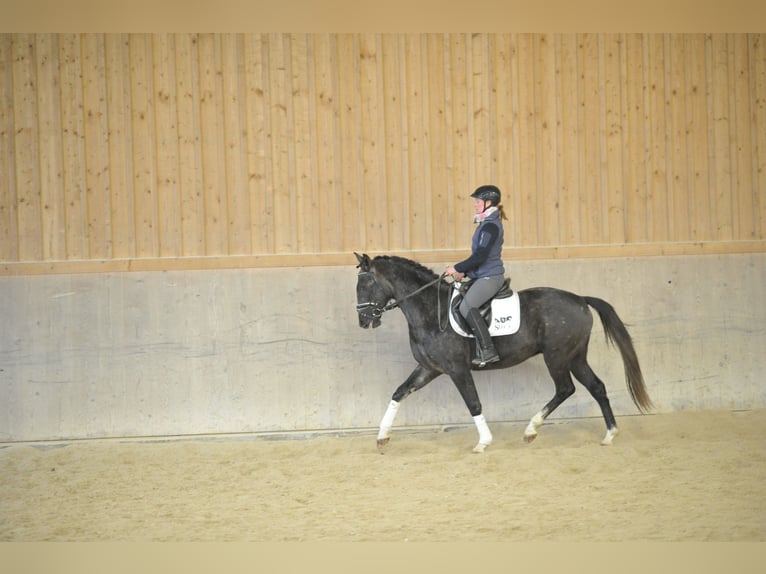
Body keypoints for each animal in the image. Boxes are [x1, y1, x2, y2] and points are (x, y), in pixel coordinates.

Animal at [356, 252, 656, 454]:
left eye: (367, 284)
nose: (363, 321)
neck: (430, 310)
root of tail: (580, 300)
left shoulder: (457, 369)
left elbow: (473, 403)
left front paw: (483, 442)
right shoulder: (430, 368)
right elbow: (399, 392)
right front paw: (382, 437)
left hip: (557, 356)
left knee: (565, 389)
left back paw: (531, 429)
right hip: (575, 356)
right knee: (596, 387)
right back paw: (609, 435)